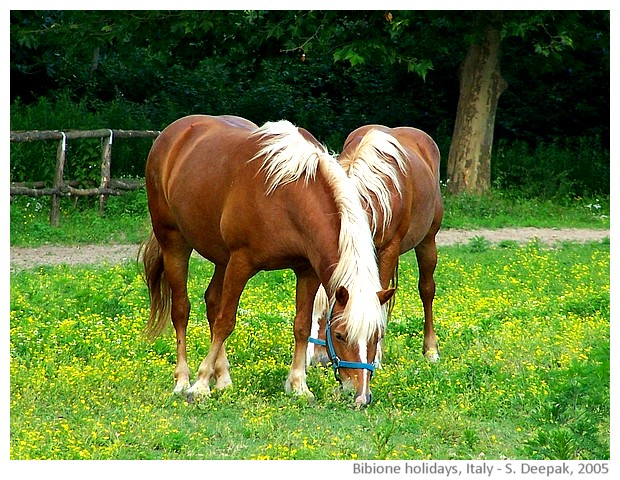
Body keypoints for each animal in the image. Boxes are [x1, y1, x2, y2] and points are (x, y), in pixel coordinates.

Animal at [140, 115, 392, 404]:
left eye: (377, 336)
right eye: (339, 335)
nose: (361, 396)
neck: (289, 195)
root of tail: (172, 134)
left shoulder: (307, 271)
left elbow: (301, 326)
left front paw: (299, 386)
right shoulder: (241, 263)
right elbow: (226, 322)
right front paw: (200, 384)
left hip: (221, 259)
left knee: (212, 303)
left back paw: (223, 377)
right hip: (175, 244)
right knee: (182, 310)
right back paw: (183, 380)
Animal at [308, 124, 444, 368]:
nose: (318, 360)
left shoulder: (389, 249)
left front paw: (377, 355)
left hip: (428, 241)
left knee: (427, 289)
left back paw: (431, 350)